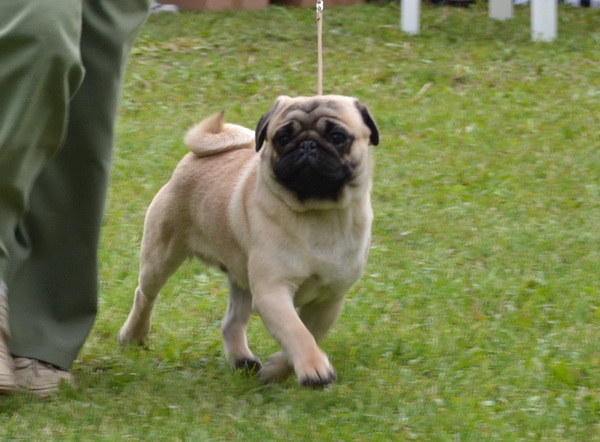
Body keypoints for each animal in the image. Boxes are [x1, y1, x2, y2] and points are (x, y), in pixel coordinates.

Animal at [118, 95, 379, 387]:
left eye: (337, 137)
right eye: (282, 138)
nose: (307, 145)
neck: (318, 214)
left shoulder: (328, 299)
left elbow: (309, 334)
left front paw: (277, 371)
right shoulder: (272, 292)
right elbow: (296, 332)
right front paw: (314, 368)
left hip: (242, 281)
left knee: (232, 322)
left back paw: (242, 359)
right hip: (161, 256)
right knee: (145, 295)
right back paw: (133, 335)